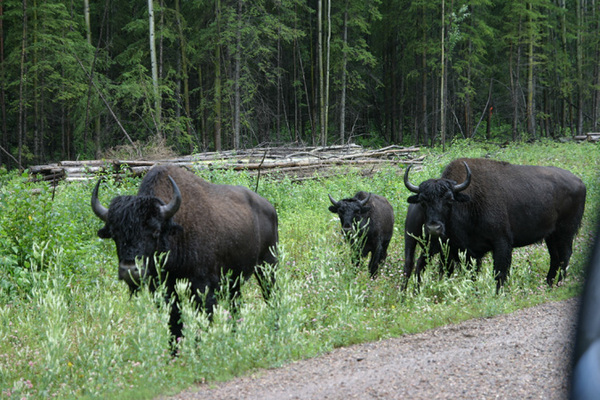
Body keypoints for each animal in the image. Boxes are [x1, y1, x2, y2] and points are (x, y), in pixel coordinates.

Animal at [404, 158, 584, 292]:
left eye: (449, 200)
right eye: (423, 202)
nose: (434, 228)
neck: (469, 201)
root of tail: (580, 182)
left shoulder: (502, 243)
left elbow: (499, 272)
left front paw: (498, 294)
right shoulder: (468, 251)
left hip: (565, 232)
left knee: (565, 255)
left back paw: (558, 284)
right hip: (551, 236)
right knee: (555, 257)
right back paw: (548, 284)